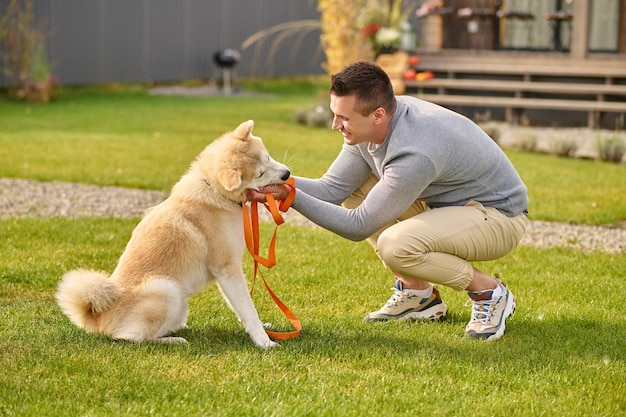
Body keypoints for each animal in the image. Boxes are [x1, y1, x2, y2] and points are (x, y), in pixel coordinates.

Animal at [54, 120, 288, 348]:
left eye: (268, 157)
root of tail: (98, 317)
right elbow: (247, 307)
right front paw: (264, 341)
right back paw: (173, 340)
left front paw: (263, 328)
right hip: (165, 289)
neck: (215, 192)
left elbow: (241, 307)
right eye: (260, 173)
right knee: (131, 337)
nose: (287, 174)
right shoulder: (226, 268)